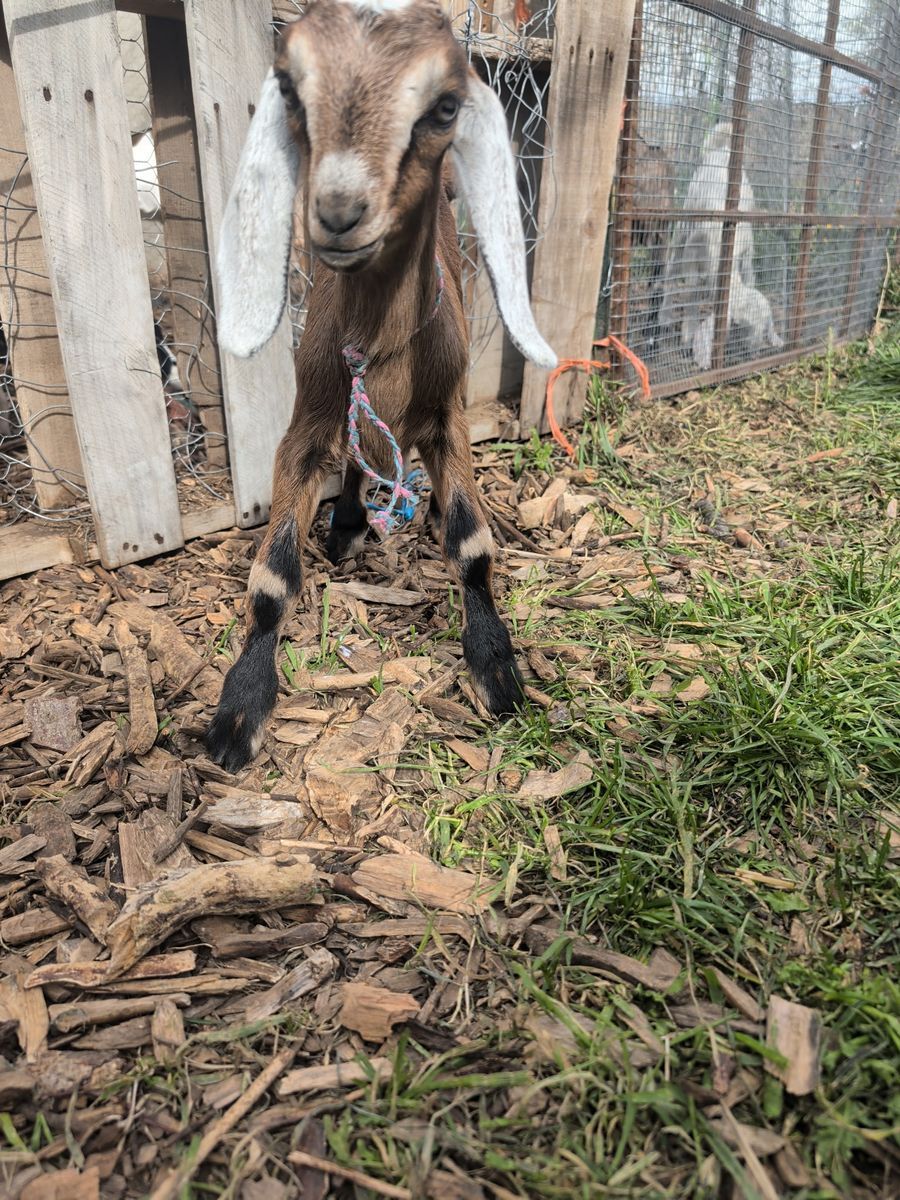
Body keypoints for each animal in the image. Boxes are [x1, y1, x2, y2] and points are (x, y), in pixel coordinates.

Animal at [206, 0, 556, 772]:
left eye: (446, 106)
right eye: (290, 89)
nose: (338, 211)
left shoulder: (448, 420)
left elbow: (473, 546)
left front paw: (497, 671)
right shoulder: (306, 426)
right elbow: (273, 580)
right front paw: (239, 711)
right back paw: (346, 527)